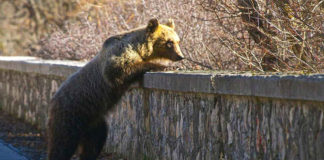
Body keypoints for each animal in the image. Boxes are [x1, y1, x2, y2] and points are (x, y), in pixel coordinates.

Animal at [46, 18, 182, 159]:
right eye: (169, 42)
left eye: (178, 41)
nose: (180, 56)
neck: (139, 48)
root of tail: (52, 99)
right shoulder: (118, 55)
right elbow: (121, 69)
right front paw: (164, 66)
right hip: (71, 114)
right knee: (63, 143)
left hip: (94, 122)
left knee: (95, 142)